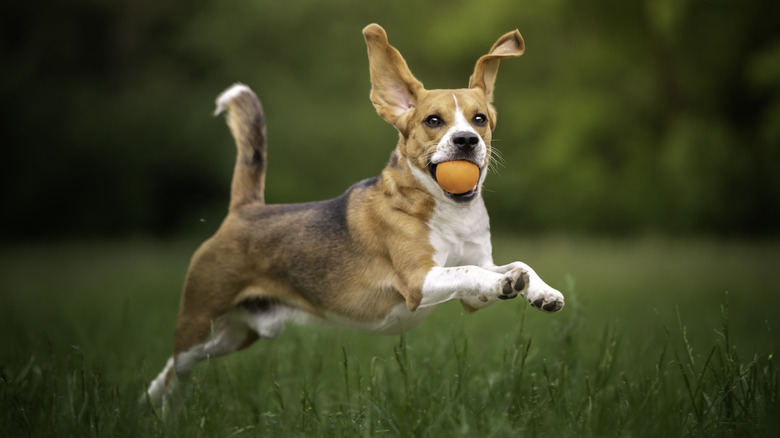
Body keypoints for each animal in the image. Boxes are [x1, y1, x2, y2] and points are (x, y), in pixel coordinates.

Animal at [145, 23, 560, 410]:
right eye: (433, 121)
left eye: (479, 119)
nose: (466, 141)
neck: (446, 209)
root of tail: (245, 210)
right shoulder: (419, 281)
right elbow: (468, 271)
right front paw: (510, 283)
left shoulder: (474, 293)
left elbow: (511, 266)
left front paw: (539, 290)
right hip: (198, 319)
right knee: (177, 368)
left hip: (237, 333)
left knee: (172, 370)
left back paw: (151, 401)